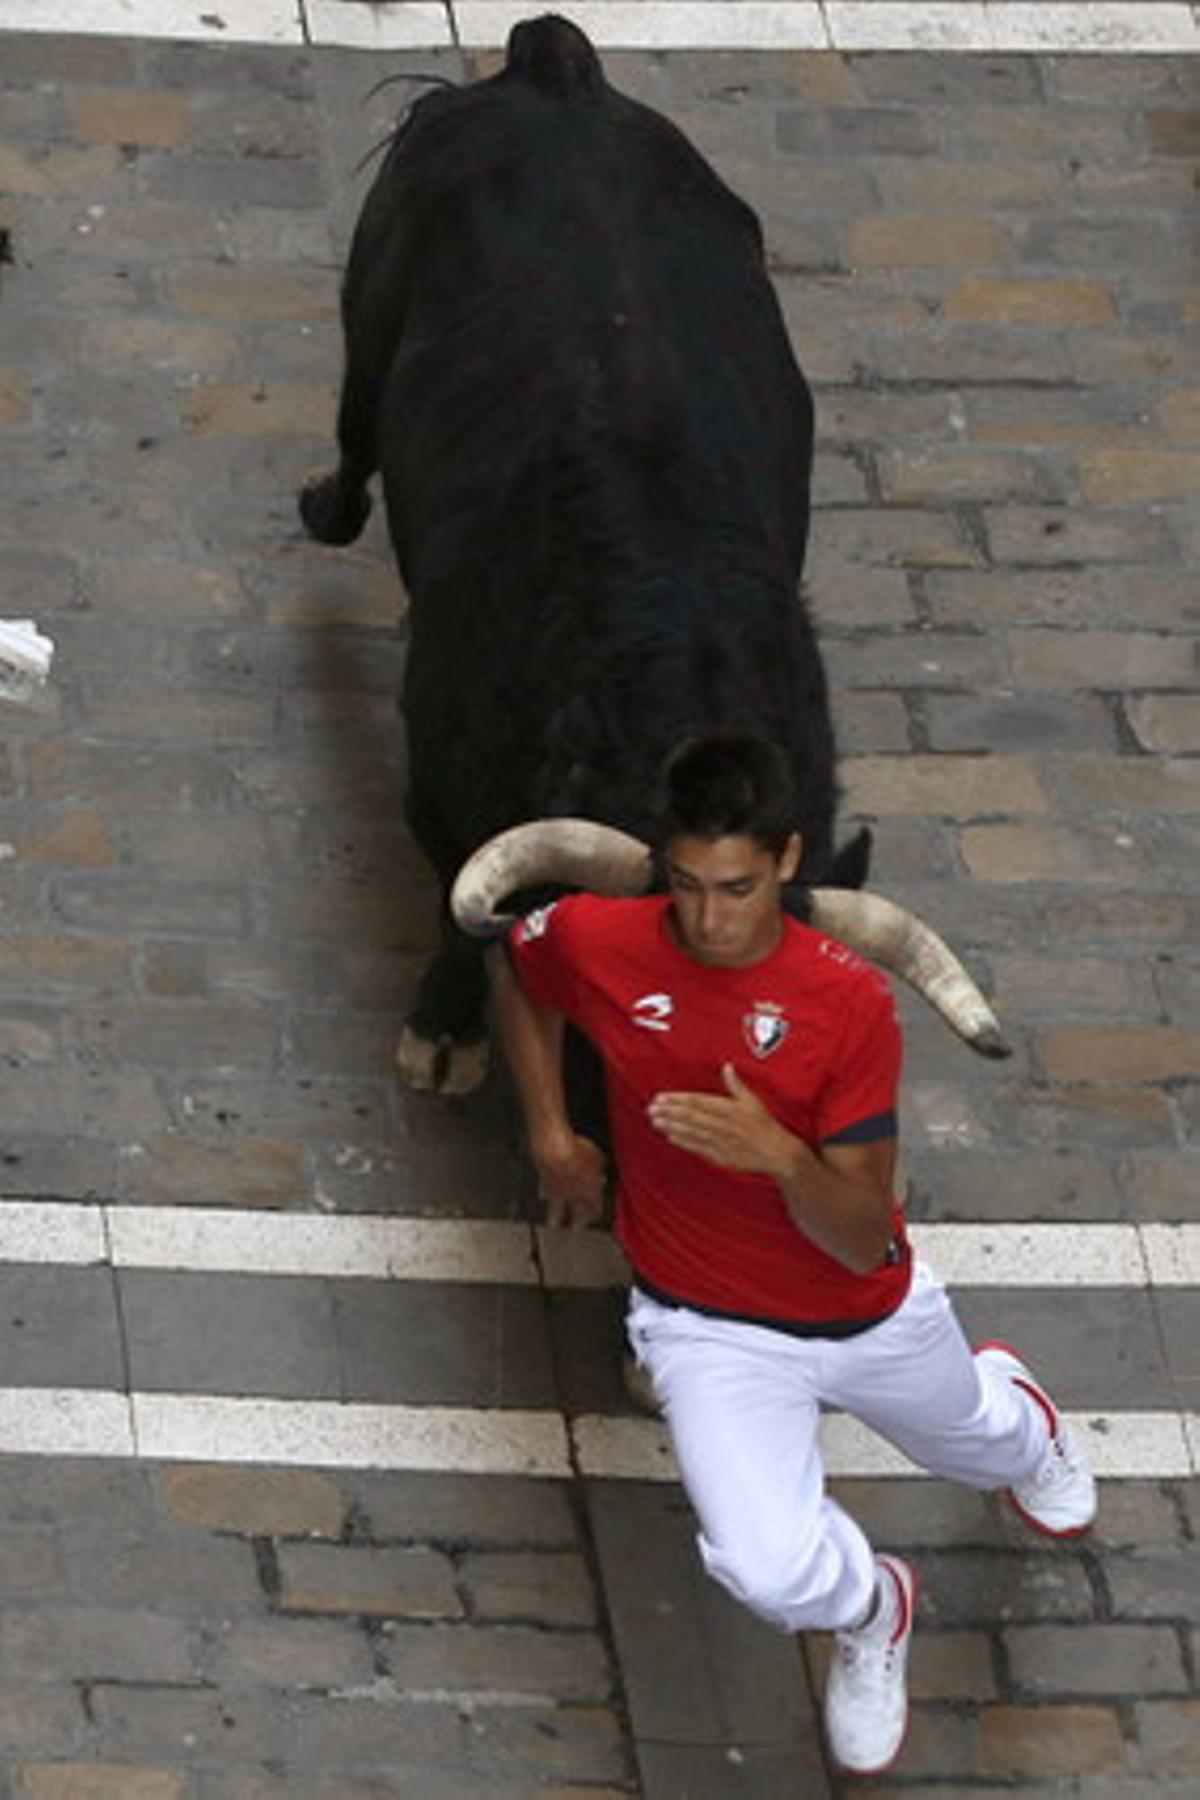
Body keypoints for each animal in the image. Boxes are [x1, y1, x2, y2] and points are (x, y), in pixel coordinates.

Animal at [302, 14, 874, 1087]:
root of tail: (557, 70)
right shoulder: (438, 783)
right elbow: (459, 897)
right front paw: (444, 1035)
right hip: (372, 292)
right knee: (355, 428)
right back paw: (323, 507)